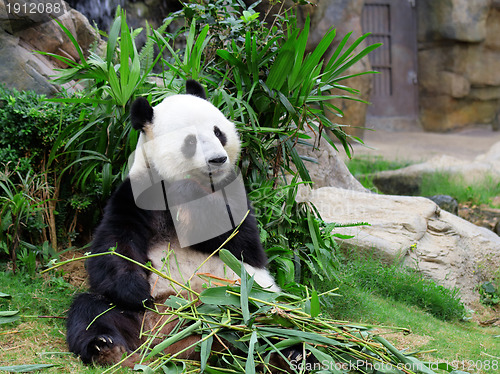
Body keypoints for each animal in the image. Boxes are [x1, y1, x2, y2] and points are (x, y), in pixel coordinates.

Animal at [64, 81, 280, 368]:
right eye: (190, 141)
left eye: (218, 132)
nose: (218, 160)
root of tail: (173, 343)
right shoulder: (135, 197)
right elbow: (113, 246)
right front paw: (135, 289)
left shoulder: (233, 195)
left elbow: (238, 240)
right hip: (137, 315)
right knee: (92, 311)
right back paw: (105, 347)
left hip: (247, 300)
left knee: (267, 327)